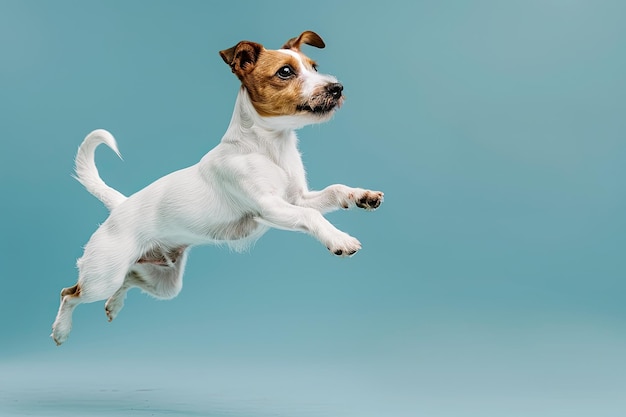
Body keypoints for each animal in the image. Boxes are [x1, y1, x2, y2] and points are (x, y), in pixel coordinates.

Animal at [52, 30, 386, 344]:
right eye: (285, 72)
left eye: (314, 67)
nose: (337, 88)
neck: (268, 147)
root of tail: (121, 204)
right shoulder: (270, 206)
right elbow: (313, 216)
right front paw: (339, 238)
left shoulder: (297, 198)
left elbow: (333, 190)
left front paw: (362, 196)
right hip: (103, 274)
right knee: (70, 293)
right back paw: (61, 331)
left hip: (163, 281)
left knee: (127, 279)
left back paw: (114, 305)